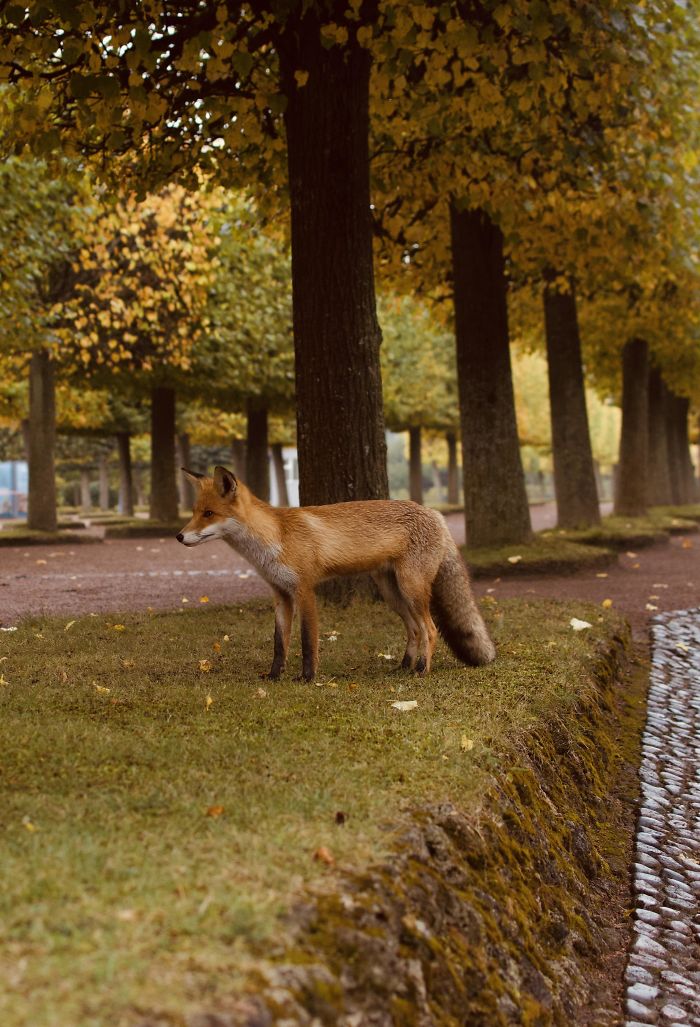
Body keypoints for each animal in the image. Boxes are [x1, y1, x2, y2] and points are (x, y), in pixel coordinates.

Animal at [176, 466, 495, 681]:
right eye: (194, 512)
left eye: (208, 514)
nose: (179, 537)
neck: (275, 538)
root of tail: (434, 513)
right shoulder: (280, 595)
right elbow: (280, 644)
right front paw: (274, 676)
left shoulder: (304, 590)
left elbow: (307, 641)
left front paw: (306, 678)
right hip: (392, 594)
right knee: (415, 630)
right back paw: (403, 667)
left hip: (411, 588)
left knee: (429, 629)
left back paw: (422, 672)